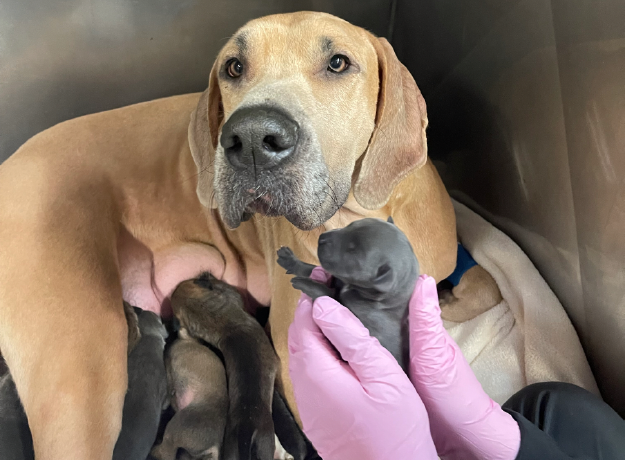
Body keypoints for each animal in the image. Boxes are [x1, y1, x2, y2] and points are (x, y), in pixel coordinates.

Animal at [278, 217, 420, 372]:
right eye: (351, 225)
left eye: (352, 252)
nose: (322, 238)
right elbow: (312, 268)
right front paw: (291, 261)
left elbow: (327, 295)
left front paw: (306, 284)